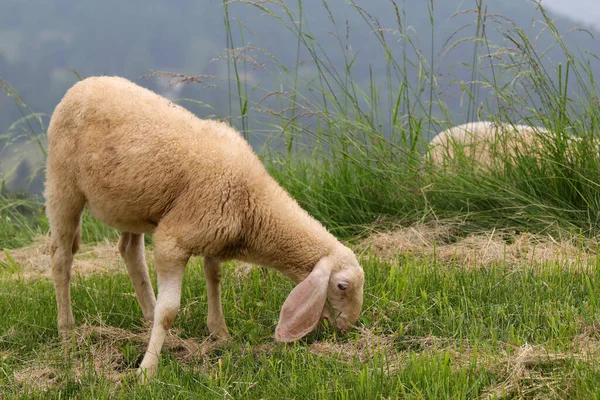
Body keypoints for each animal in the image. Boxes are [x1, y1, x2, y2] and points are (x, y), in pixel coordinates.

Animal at [43, 76, 366, 382]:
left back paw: (148, 317)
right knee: (61, 259)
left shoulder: (214, 235)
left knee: (129, 251)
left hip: (132, 203)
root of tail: (83, 84)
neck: (252, 205)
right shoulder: (173, 240)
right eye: (342, 286)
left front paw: (219, 332)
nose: (347, 328)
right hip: (63, 184)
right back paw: (67, 331)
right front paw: (147, 371)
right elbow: (169, 311)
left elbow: (214, 277)